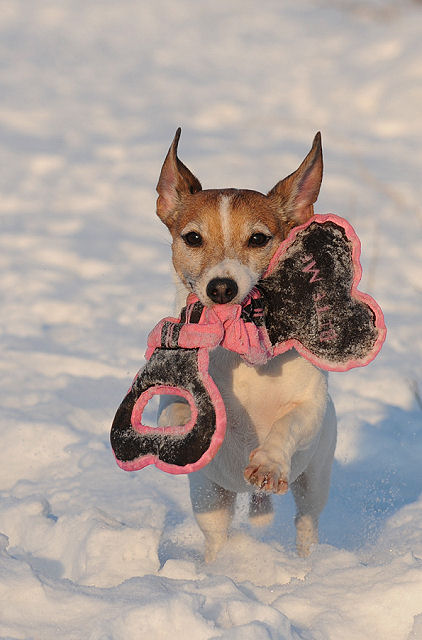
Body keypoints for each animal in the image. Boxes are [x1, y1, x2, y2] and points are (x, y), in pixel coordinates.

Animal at [155, 130, 336, 560]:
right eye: (192, 237)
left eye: (258, 238)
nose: (221, 287)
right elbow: (173, 408)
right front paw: (186, 420)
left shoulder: (309, 408)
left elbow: (288, 422)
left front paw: (268, 463)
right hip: (209, 495)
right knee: (217, 535)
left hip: (316, 477)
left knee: (306, 522)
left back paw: (306, 566)